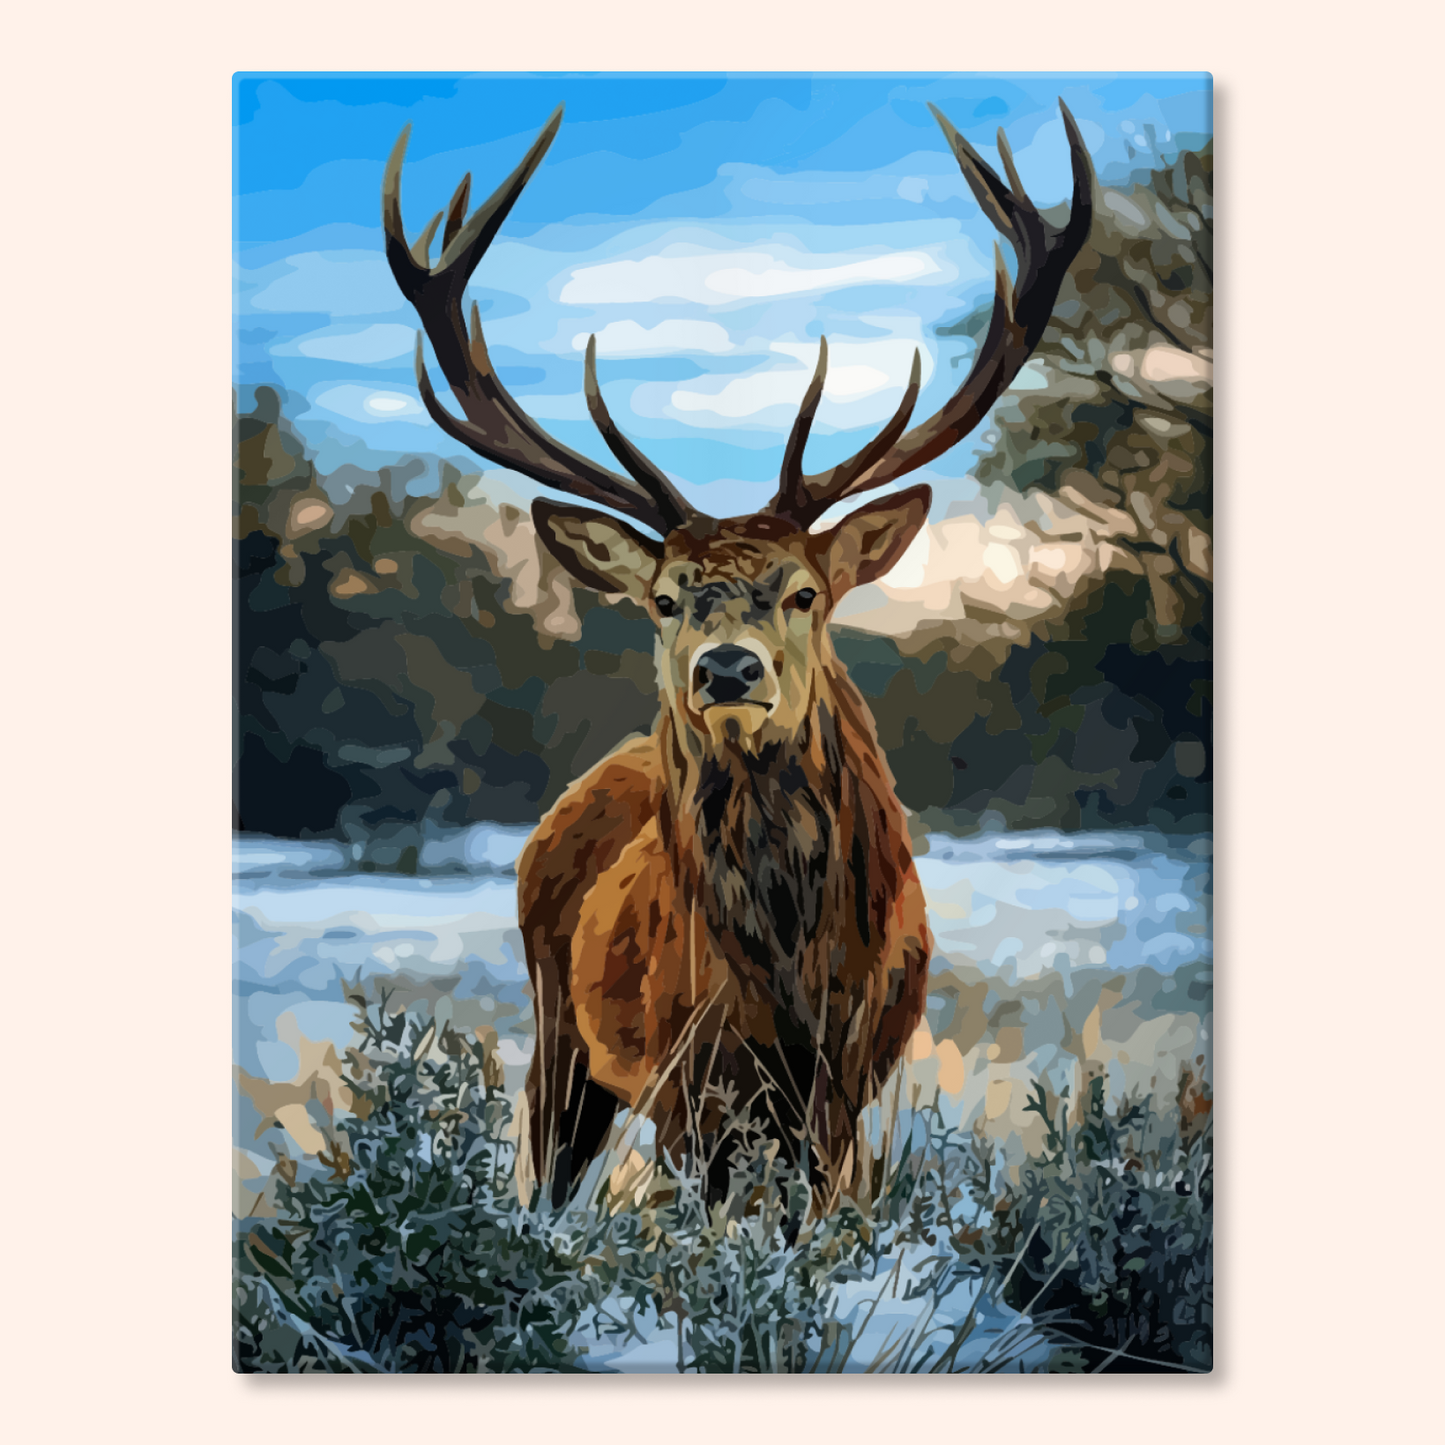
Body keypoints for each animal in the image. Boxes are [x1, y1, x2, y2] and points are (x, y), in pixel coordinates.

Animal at [381, 98, 1093, 1211]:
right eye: (664, 599)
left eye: (804, 592)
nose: (726, 670)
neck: (794, 974)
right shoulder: (690, 1081)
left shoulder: (851, 1082)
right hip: (558, 1032)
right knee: (541, 1181)